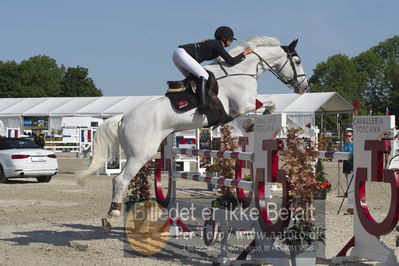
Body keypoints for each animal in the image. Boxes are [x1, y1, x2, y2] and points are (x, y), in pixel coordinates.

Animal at [77, 35, 310, 230]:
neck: (243, 70)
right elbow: (268, 104)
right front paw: (253, 123)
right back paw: (111, 215)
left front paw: (249, 124)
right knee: (120, 180)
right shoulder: (243, 104)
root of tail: (123, 118)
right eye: (298, 61)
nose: (304, 88)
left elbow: (263, 106)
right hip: (140, 155)